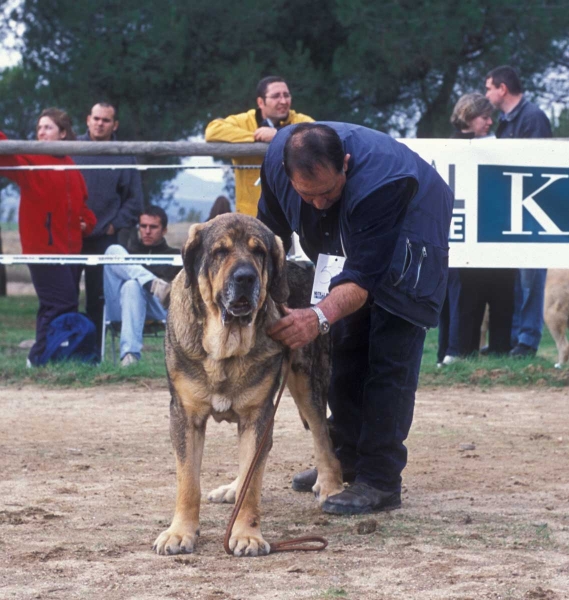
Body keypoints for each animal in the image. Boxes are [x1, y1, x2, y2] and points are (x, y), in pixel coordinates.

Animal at [152, 213, 342, 556]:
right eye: (220, 251)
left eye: (259, 252)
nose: (245, 277)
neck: (224, 348)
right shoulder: (185, 415)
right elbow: (188, 480)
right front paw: (180, 532)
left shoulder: (259, 416)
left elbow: (253, 484)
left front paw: (247, 535)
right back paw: (232, 488)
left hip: (307, 380)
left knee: (323, 437)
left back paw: (332, 487)